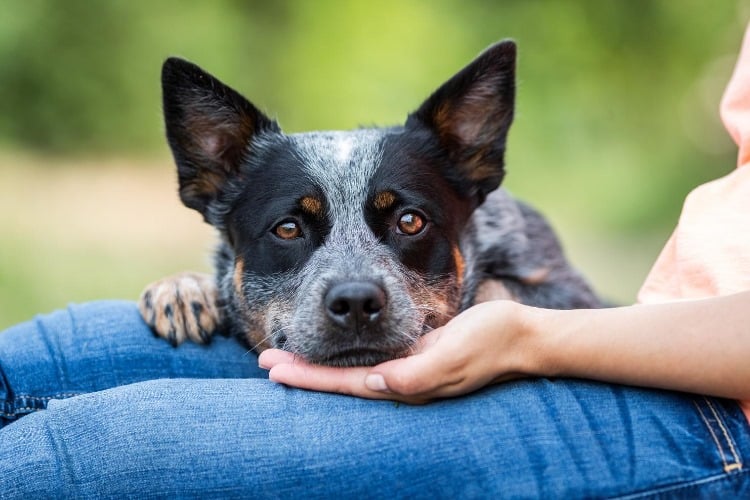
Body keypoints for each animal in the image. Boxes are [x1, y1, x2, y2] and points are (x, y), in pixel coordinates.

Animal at [140, 40, 600, 368]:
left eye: (411, 221)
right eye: (287, 228)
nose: (357, 302)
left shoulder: (582, 297)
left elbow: (497, 286)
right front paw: (182, 288)